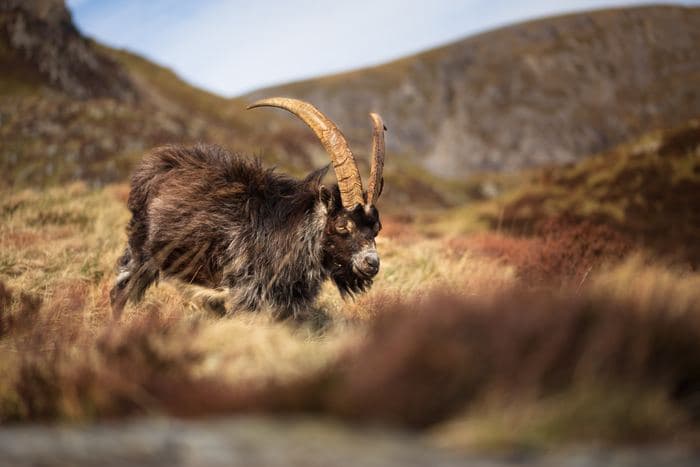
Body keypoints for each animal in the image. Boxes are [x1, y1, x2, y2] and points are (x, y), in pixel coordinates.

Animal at [110, 97, 387, 319]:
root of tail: (154, 165)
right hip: (140, 251)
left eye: (376, 228)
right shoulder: (247, 292)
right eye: (342, 225)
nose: (372, 264)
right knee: (119, 293)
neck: (290, 229)